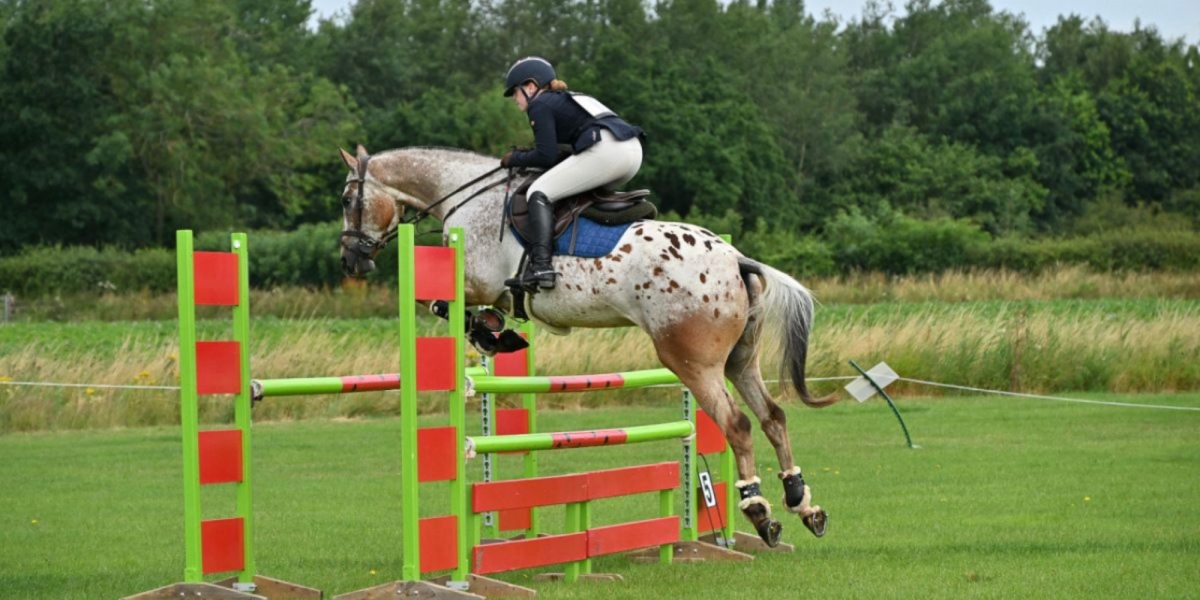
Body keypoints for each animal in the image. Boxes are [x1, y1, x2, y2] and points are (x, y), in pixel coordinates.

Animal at [337, 144, 834, 546]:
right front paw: (498, 331)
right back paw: (802, 502)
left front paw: (490, 333)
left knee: (738, 425)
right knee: (772, 416)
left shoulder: (477, 282)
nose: (350, 259)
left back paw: (760, 512)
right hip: (738, 361)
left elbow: (440, 304)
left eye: (346, 200)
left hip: (691, 361)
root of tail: (735, 258)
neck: (466, 195)